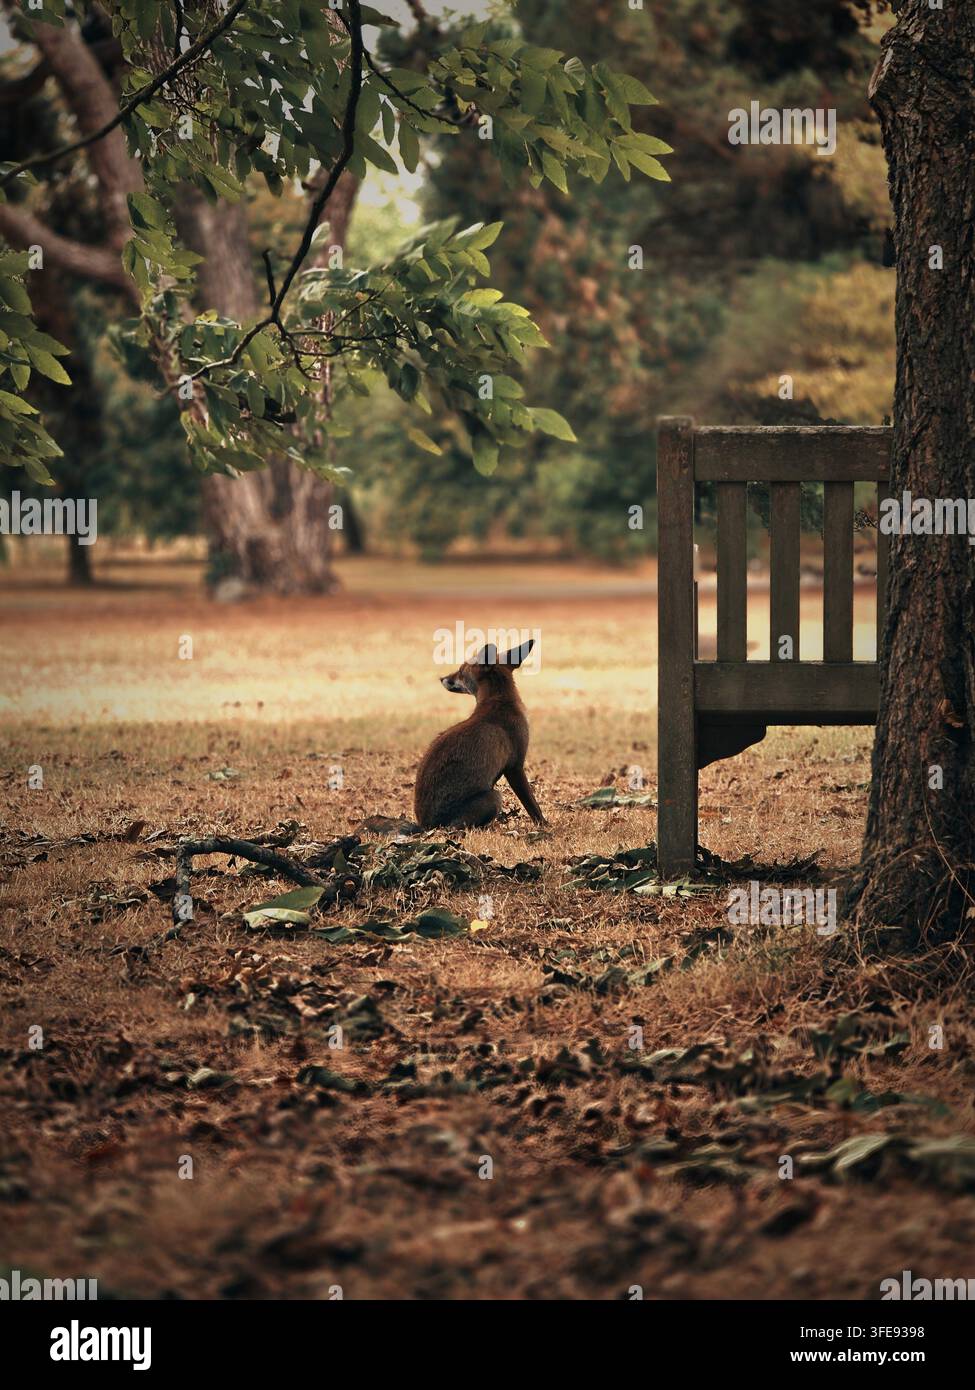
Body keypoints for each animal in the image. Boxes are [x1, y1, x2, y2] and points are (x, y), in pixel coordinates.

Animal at [414, 639, 546, 830]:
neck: (500, 702)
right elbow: (533, 807)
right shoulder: (515, 766)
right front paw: (545, 826)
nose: (441, 678)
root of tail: (424, 825)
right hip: (494, 797)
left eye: (461, 670)